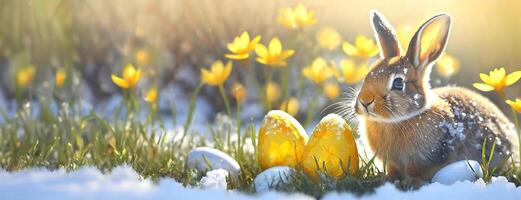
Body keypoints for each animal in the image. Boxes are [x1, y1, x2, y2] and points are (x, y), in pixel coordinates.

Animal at [352, 10, 516, 184]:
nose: (365, 101)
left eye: (398, 83)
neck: (395, 121)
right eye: (367, 77)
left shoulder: (425, 160)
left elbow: (416, 172)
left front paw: (412, 183)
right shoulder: (392, 163)